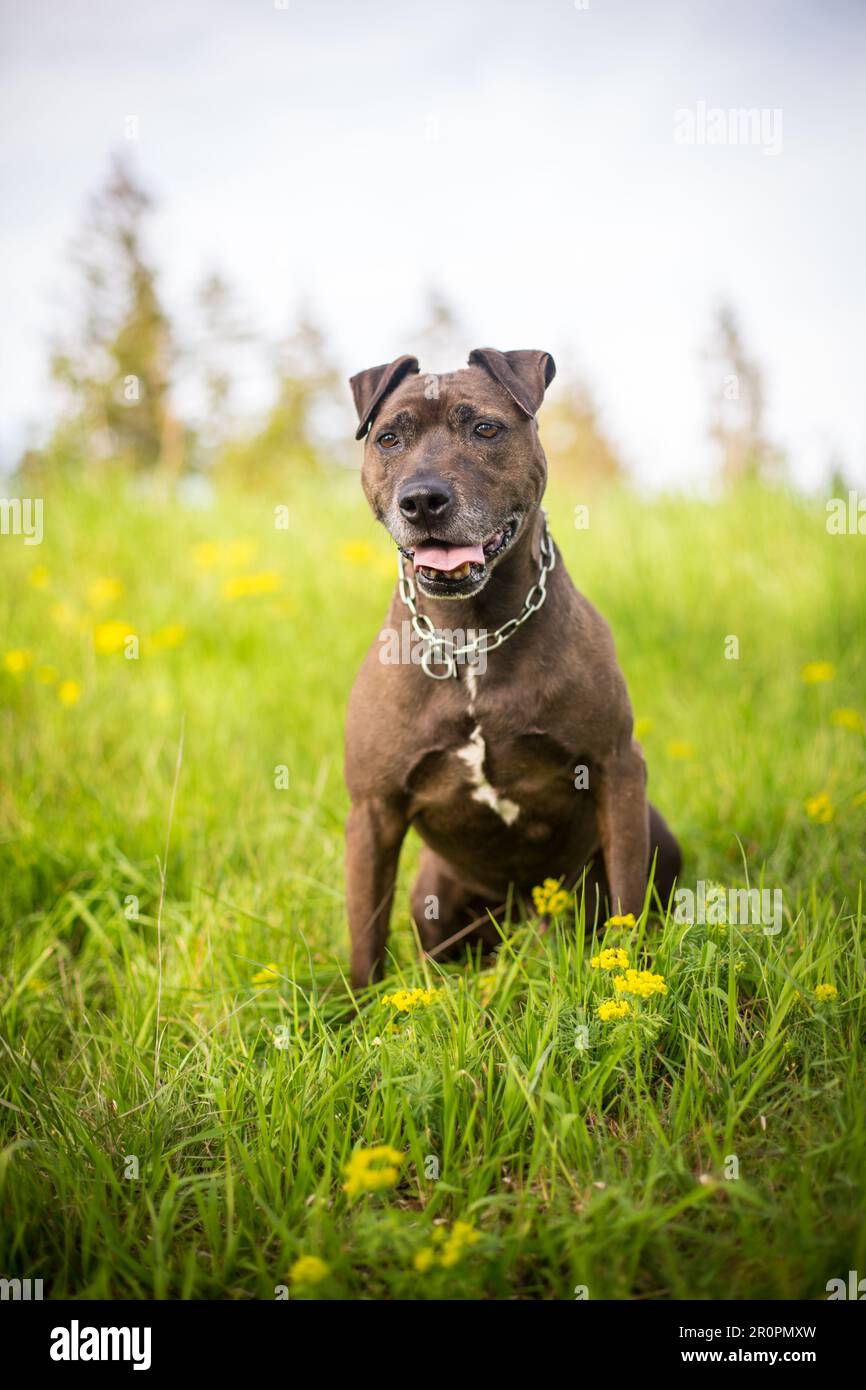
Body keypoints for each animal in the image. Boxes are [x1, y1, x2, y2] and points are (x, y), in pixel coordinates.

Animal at [341, 347, 681, 989]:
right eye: (390, 437)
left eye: (485, 429)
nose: (423, 500)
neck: (470, 636)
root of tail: (527, 917)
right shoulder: (372, 811)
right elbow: (365, 935)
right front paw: (354, 1007)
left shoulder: (617, 769)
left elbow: (628, 899)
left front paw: (631, 978)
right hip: (433, 895)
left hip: (656, 836)